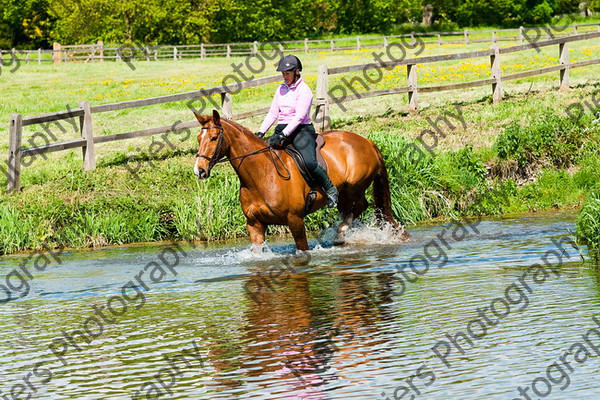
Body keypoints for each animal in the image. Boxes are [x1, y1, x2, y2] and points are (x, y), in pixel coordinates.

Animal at [192, 111, 408, 252]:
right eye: (198, 138)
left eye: (213, 138)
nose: (199, 170)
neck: (261, 174)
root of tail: (367, 142)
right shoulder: (255, 224)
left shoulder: (295, 219)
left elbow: (302, 250)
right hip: (346, 194)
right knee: (352, 209)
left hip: (354, 187)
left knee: (361, 205)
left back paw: (340, 234)